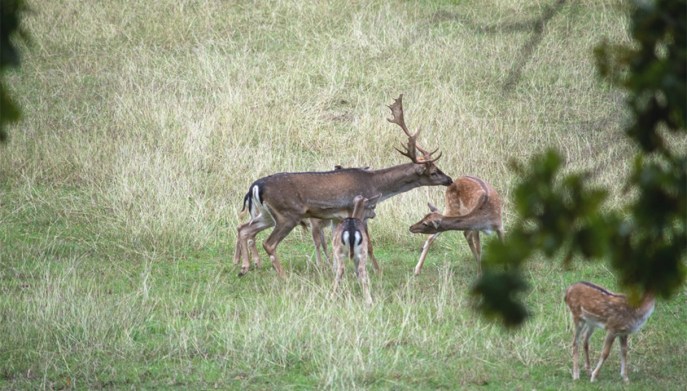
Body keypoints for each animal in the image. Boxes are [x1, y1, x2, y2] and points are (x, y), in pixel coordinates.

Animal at [234, 95, 454, 278]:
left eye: (438, 168)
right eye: (433, 172)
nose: (449, 179)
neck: (375, 185)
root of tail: (255, 186)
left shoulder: (335, 217)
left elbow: (333, 243)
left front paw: (335, 269)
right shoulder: (361, 209)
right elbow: (369, 245)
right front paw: (377, 271)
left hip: (267, 214)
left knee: (244, 229)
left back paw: (244, 267)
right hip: (287, 214)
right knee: (268, 243)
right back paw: (282, 276)